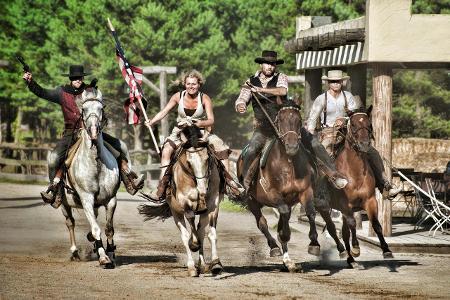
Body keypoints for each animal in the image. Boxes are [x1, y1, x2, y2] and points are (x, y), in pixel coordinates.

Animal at [59, 88, 119, 268]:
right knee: (70, 223)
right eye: (84, 110)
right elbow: (96, 229)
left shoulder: (111, 200)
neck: (96, 163)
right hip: (65, 205)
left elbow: (108, 228)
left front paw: (111, 253)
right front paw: (103, 257)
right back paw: (74, 252)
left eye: (101, 108)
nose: (93, 130)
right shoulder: (86, 200)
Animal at [137, 125, 221, 278]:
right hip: (176, 212)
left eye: (207, 158)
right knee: (185, 235)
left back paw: (203, 265)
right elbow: (190, 227)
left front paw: (216, 264)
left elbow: (210, 233)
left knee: (200, 231)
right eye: (189, 162)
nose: (202, 188)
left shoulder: (212, 204)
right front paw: (194, 245)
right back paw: (192, 267)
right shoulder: (185, 203)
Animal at [237, 103, 332, 272]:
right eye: (280, 121)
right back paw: (275, 248)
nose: (292, 146)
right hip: (251, 201)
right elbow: (282, 221)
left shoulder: (305, 191)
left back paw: (288, 261)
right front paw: (284, 238)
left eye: (299, 121)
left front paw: (314, 244)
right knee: (262, 223)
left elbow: (310, 212)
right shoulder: (273, 194)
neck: (288, 163)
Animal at [320, 108, 394, 268]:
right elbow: (353, 224)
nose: (364, 144)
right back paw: (344, 253)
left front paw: (386, 250)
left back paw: (351, 260)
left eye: (369, 124)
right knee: (334, 229)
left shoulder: (371, 201)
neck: (355, 174)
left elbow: (376, 224)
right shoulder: (345, 205)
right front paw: (356, 248)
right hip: (324, 207)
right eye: (353, 124)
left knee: (343, 232)